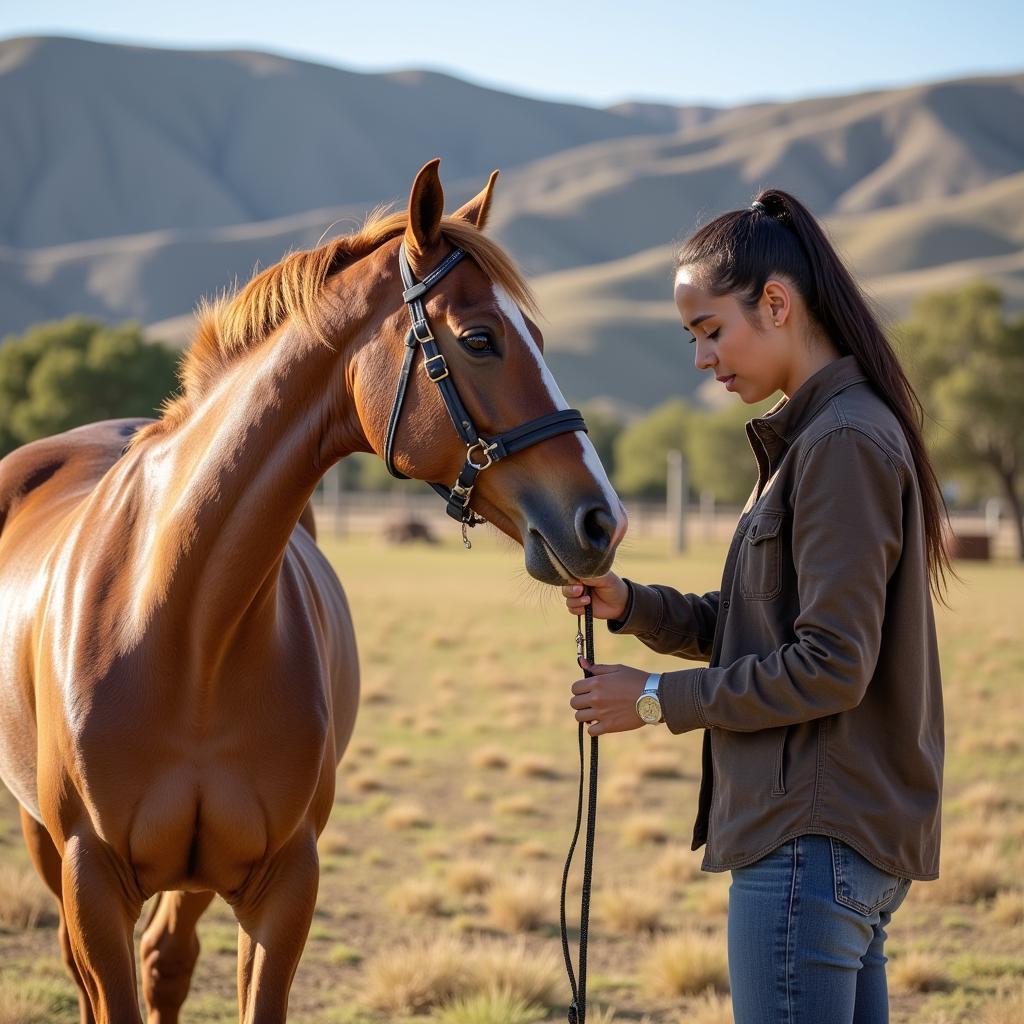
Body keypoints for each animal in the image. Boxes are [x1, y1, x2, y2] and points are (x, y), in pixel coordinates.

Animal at [0, 161, 622, 1024]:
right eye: (480, 339)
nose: (602, 520)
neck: (184, 628)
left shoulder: (283, 886)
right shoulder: (91, 882)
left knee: (168, 959)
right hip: (44, 844)